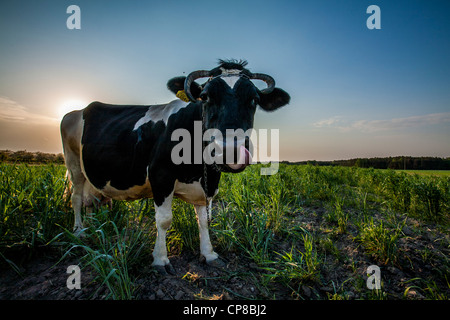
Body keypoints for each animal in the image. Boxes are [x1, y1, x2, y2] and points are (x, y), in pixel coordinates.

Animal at [59, 58, 290, 274]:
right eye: (205, 96)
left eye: (254, 99)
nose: (230, 150)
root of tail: (78, 110)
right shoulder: (160, 175)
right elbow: (164, 220)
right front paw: (160, 260)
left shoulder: (206, 184)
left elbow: (204, 220)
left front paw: (209, 254)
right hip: (73, 164)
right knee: (77, 197)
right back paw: (79, 231)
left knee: (91, 201)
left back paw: (95, 228)